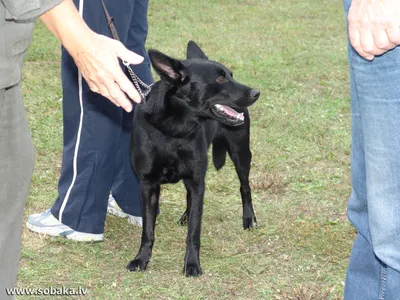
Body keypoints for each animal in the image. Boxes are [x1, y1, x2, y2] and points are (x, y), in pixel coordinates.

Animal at [127, 41, 260, 278]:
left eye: (231, 75)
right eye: (220, 79)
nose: (256, 93)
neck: (174, 130)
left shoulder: (197, 181)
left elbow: (194, 232)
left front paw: (192, 264)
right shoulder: (148, 185)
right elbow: (147, 230)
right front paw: (141, 259)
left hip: (241, 153)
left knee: (245, 187)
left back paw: (248, 219)